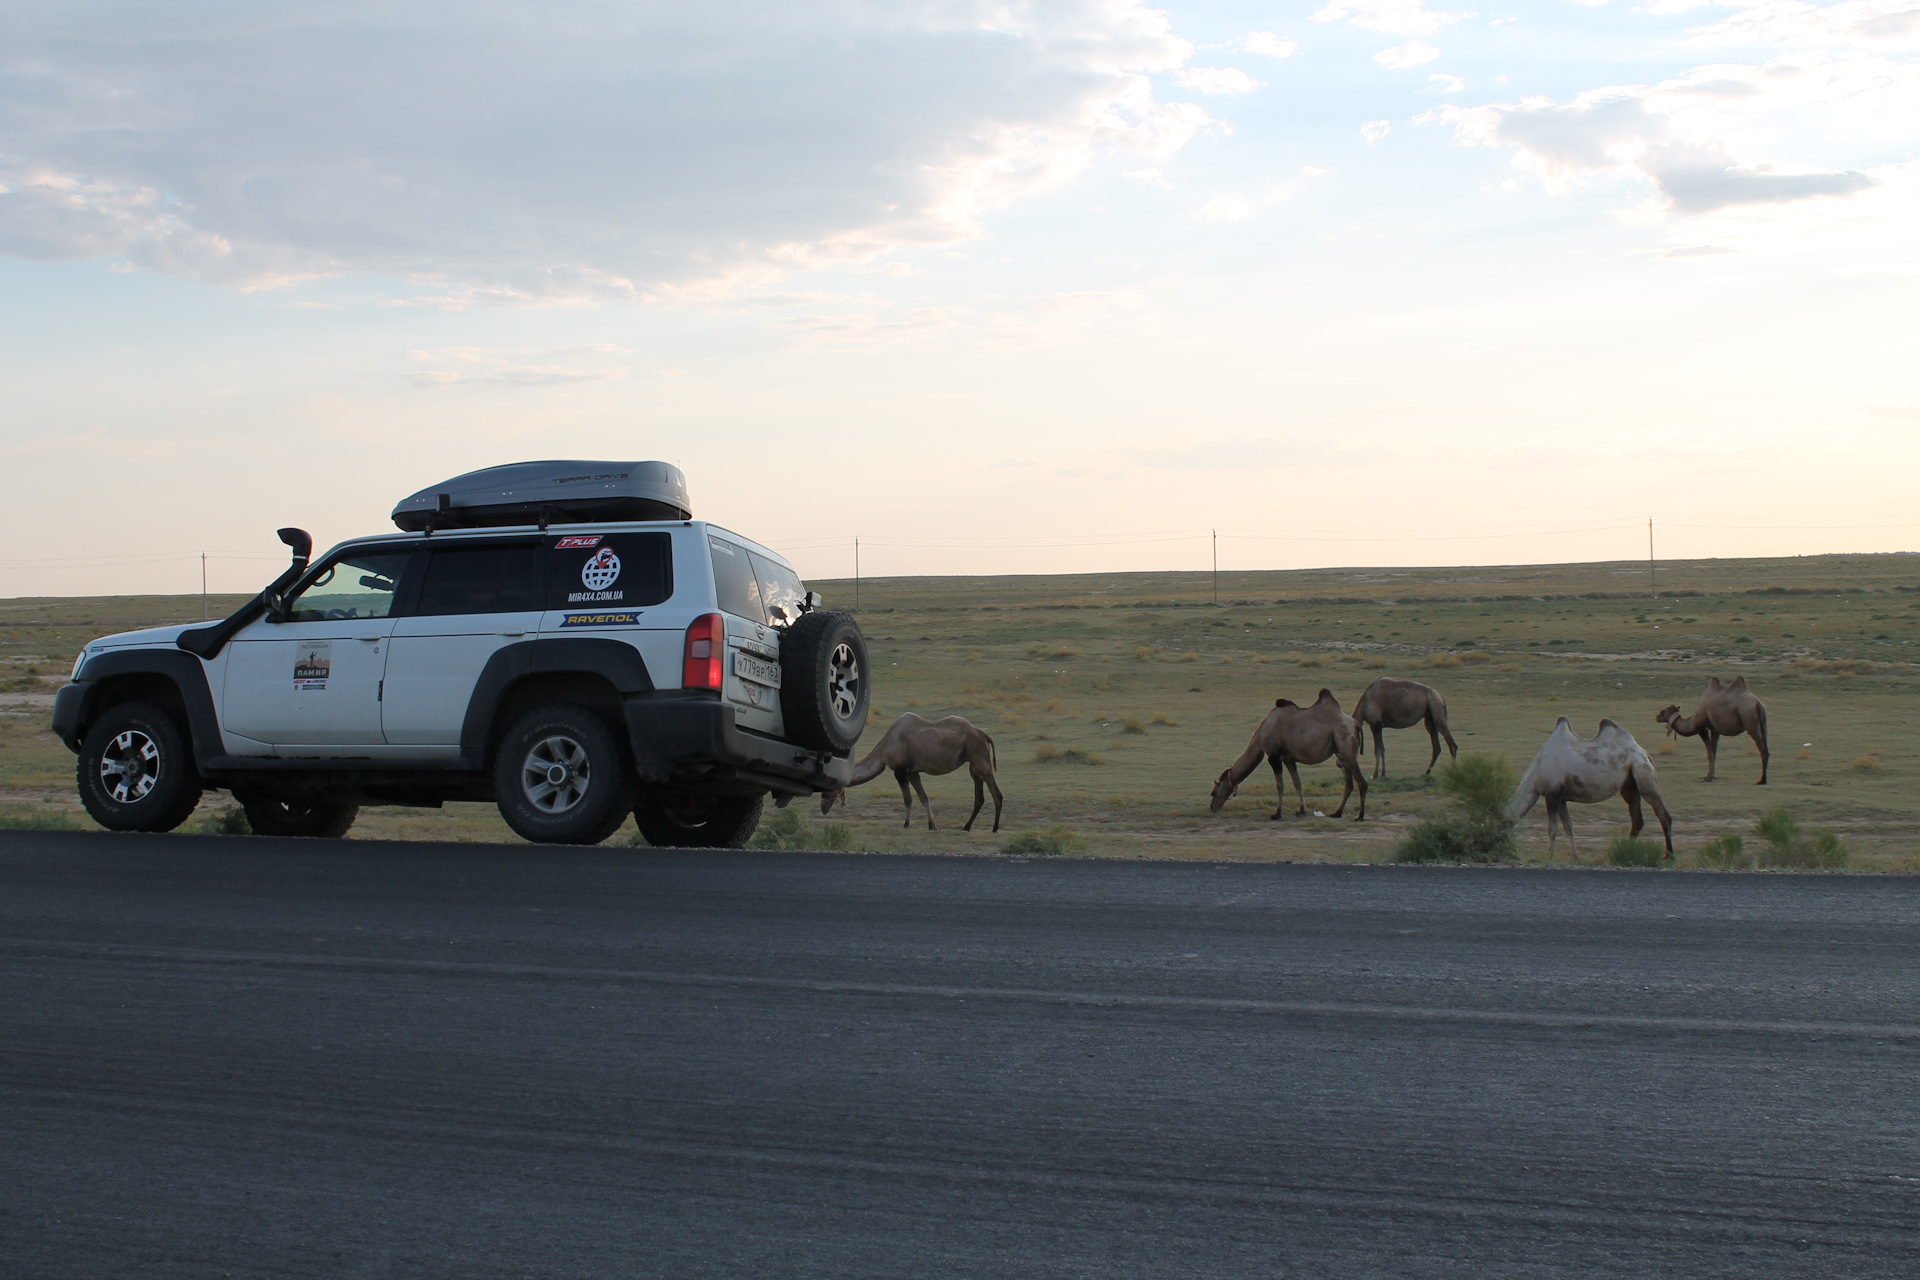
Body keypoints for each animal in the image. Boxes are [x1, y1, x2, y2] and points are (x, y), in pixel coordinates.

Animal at [821, 710, 1006, 832]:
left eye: (829, 787)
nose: (823, 808)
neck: (884, 747)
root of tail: (983, 735)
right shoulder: (913, 772)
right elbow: (924, 797)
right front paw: (932, 825)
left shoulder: (900, 771)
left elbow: (908, 799)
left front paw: (906, 824)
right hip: (973, 766)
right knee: (979, 797)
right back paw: (966, 827)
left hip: (981, 761)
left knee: (996, 794)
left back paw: (995, 828)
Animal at [1213, 690, 1367, 821]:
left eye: (1214, 792)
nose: (1212, 807)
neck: (1263, 732)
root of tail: (1356, 724)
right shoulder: (1288, 758)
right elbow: (1297, 783)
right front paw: (1302, 811)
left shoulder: (1274, 756)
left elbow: (1280, 786)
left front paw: (1277, 814)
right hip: (1341, 754)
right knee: (1349, 783)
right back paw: (1337, 813)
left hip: (1348, 751)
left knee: (1361, 782)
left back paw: (1360, 816)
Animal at [1505, 721, 1674, 859]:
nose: (1509, 849)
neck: (1535, 776)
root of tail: (1644, 753)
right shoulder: (1561, 798)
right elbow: (1568, 827)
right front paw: (1575, 856)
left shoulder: (1552, 794)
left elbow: (1552, 828)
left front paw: (1549, 855)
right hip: (1630, 786)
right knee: (1637, 819)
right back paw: (1627, 849)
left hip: (1643, 773)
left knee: (1662, 814)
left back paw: (1668, 855)